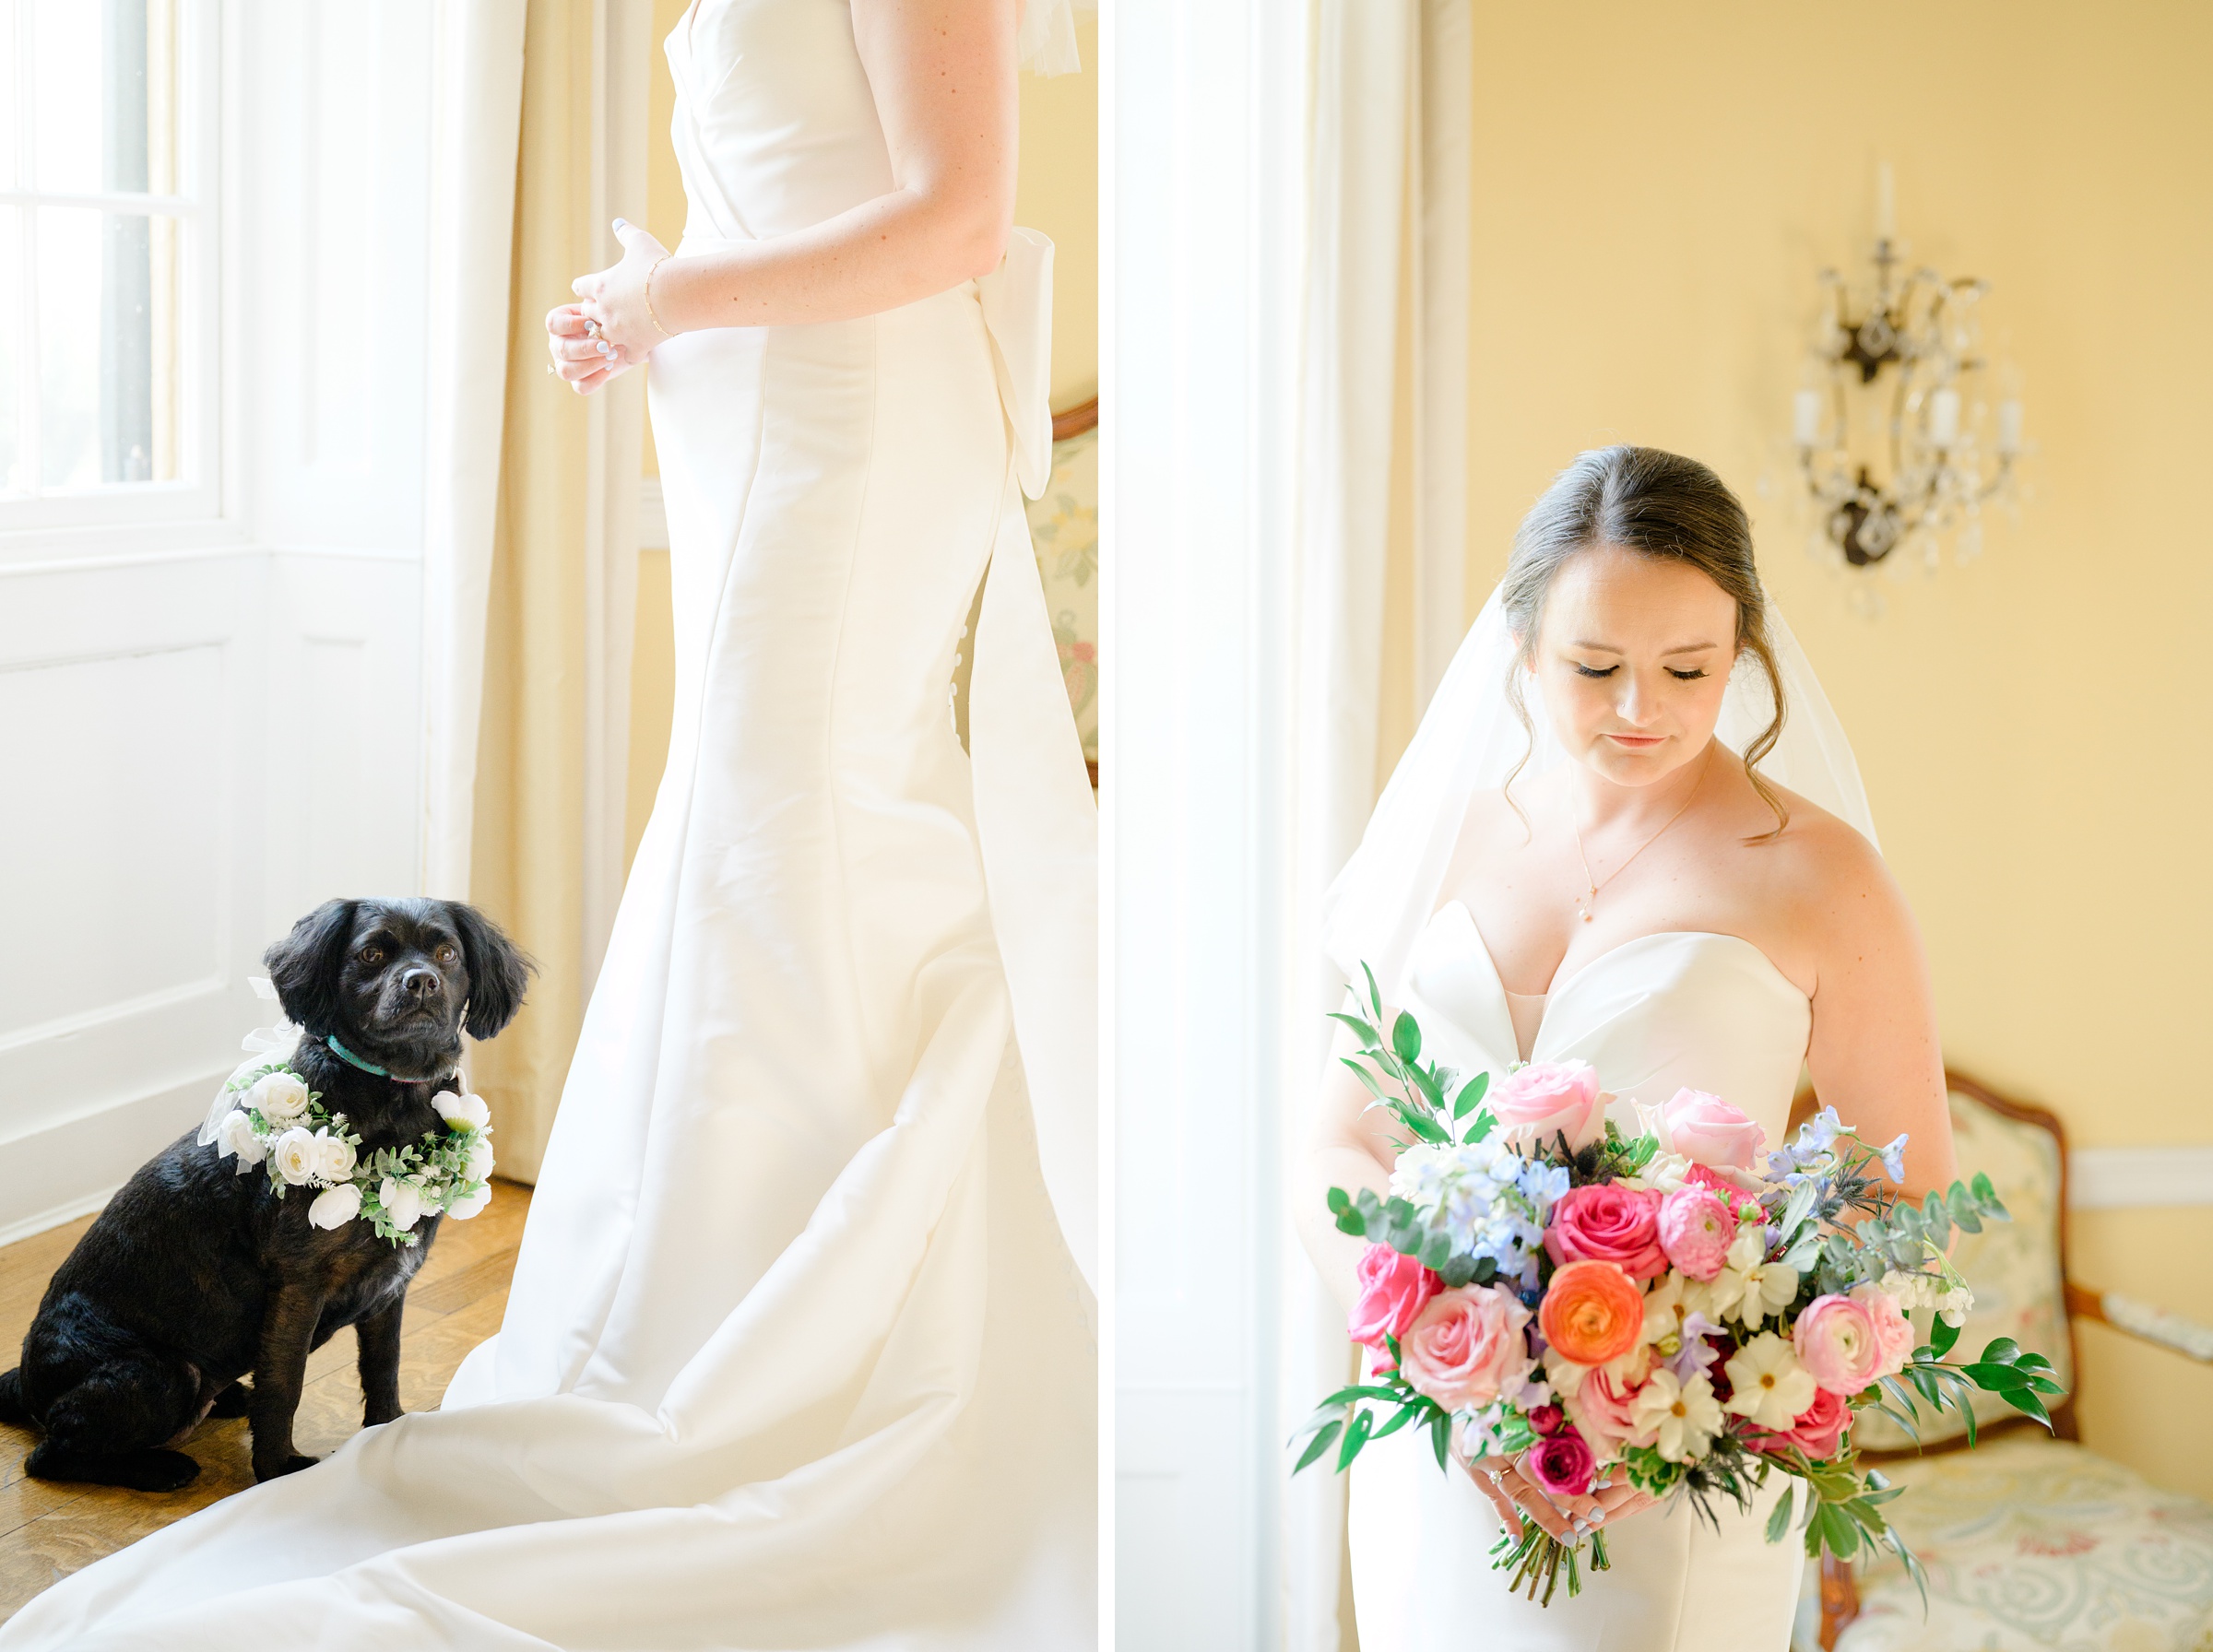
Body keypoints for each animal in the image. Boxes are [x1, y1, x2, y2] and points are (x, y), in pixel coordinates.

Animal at [0, 897, 531, 1494]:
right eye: (371, 953)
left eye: (447, 953)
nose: (421, 981)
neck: (395, 1096)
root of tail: (25, 1383)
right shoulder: (298, 1285)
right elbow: (284, 1385)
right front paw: (278, 1471)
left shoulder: (389, 1287)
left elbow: (383, 1366)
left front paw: (388, 1434)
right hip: (164, 1372)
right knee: (49, 1455)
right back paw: (161, 1468)